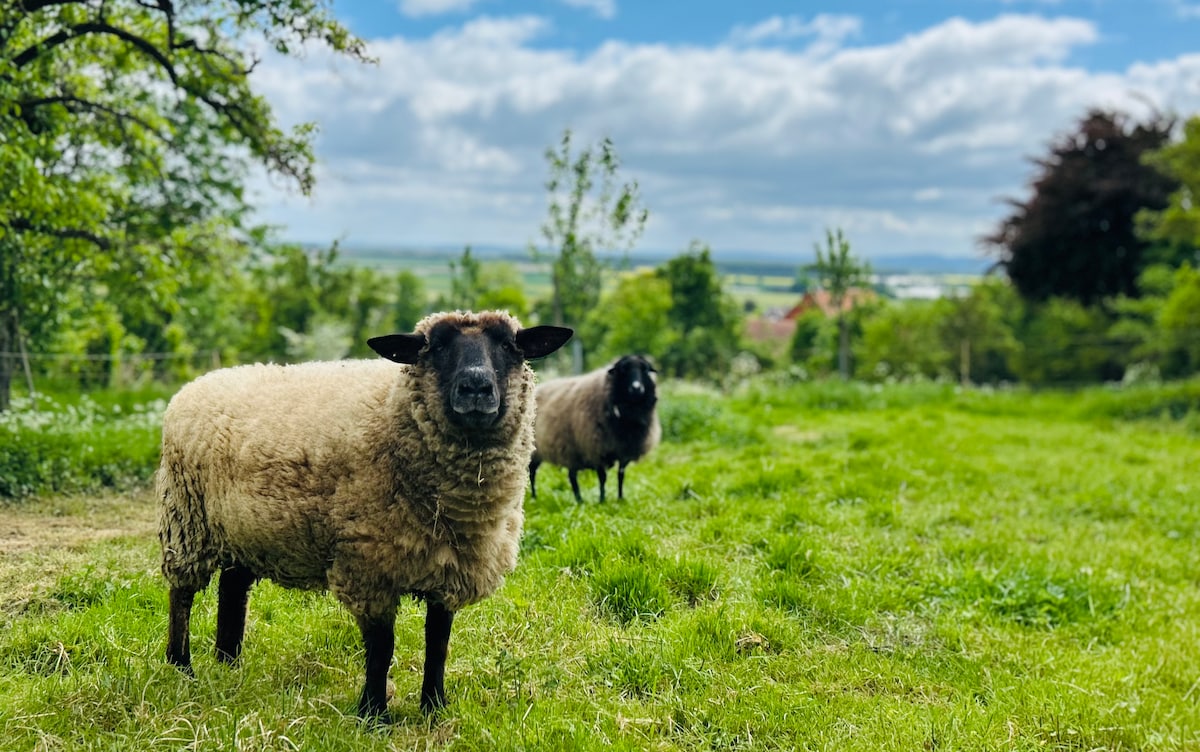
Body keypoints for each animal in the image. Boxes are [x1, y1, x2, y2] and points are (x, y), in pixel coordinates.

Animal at [156, 310, 572, 721]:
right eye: (436, 347)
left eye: (509, 345)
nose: (475, 386)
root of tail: (200, 382)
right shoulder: (369, 565)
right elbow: (382, 646)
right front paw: (373, 713)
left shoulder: (449, 566)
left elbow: (438, 641)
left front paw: (434, 707)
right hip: (187, 521)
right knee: (182, 594)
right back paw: (182, 666)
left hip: (243, 531)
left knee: (232, 588)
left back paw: (229, 663)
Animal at [529, 354, 661, 503]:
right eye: (623, 370)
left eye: (645, 370)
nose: (637, 388)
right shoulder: (597, 448)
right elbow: (602, 477)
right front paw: (602, 500)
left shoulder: (624, 451)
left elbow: (621, 475)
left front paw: (620, 498)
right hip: (538, 450)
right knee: (532, 472)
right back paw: (534, 496)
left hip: (570, 450)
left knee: (571, 475)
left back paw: (578, 500)